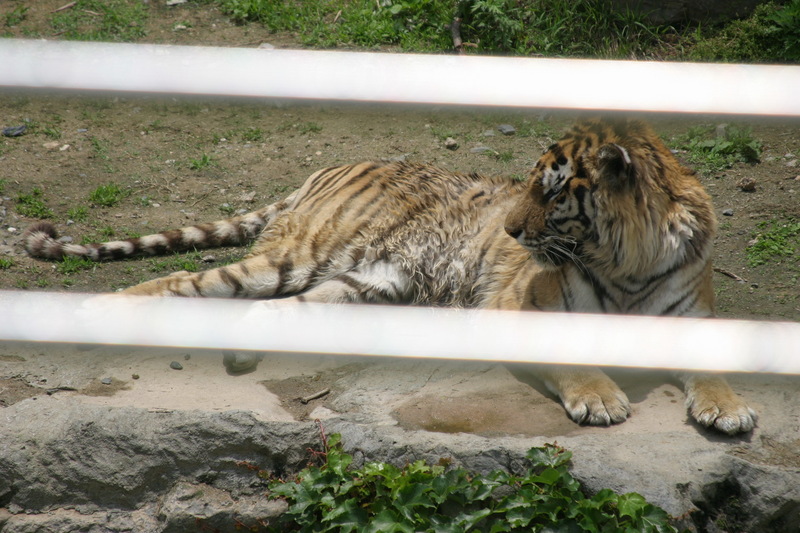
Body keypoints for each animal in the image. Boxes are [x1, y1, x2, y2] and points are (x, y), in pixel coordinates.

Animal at [23, 116, 756, 432]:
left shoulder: (690, 320)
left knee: (269, 308)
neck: (629, 261)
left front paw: (729, 409)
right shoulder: (522, 308)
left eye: (550, 193)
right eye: (528, 186)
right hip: (299, 255)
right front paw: (602, 399)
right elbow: (573, 359)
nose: (511, 231)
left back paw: (242, 351)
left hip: (366, 282)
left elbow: (716, 372)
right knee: (173, 284)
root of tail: (331, 165)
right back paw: (95, 313)